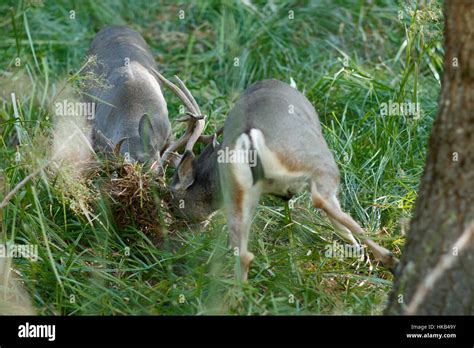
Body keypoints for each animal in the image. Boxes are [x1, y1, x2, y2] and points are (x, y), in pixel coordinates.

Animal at [152, 72, 396, 280]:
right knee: (323, 199)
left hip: (239, 190)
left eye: (171, 201)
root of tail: (250, 136)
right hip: (315, 158)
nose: (177, 236)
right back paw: (386, 257)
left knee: (243, 253)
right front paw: (357, 253)